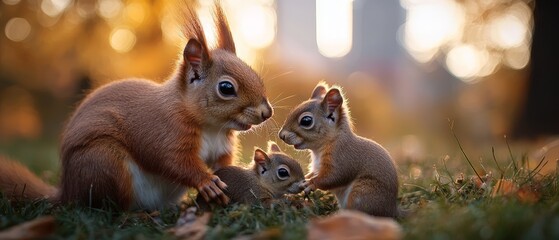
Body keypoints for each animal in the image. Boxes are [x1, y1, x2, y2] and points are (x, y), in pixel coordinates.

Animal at [0, 2, 274, 210]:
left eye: (255, 74)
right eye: (226, 88)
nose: (266, 112)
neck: (212, 127)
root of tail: (68, 192)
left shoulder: (221, 148)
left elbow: (223, 165)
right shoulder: (164, 132)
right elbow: (173, 161)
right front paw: (206, 182)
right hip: (104, 163)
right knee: (110, 208)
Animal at [278, 82, 400, 218]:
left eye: (306, 121)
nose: (281, 135)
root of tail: (392, 210)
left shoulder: (342, 157)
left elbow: (334, 177)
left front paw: (311, 183)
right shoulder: (317, 167)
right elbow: (314, 173)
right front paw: (304, 179)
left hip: (362, 193)